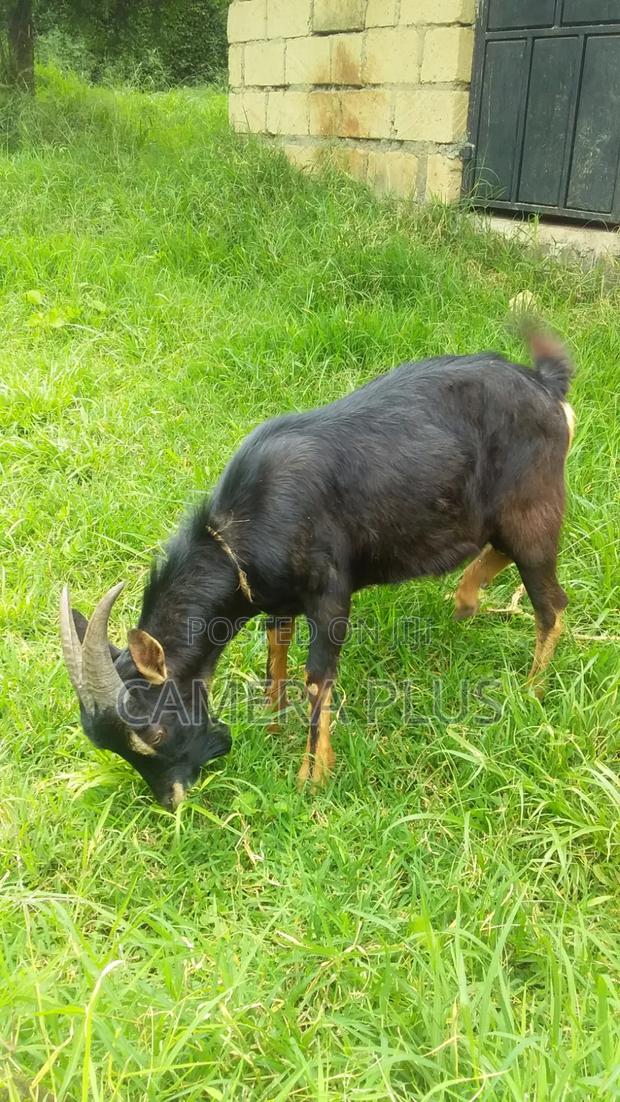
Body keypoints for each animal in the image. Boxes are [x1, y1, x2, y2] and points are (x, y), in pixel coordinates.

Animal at [60, 325, 575, 808]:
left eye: (154, 733)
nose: (174, 798)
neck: (238, 530)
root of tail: (547, 388)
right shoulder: (275, 598)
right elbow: (276, 651)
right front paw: (271, 723)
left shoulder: (329, 594)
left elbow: (316, 678)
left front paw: (313, 777)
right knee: (502, 553)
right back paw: (466, 601)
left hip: (534, 506)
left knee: (551, 604)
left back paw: (531, 693)